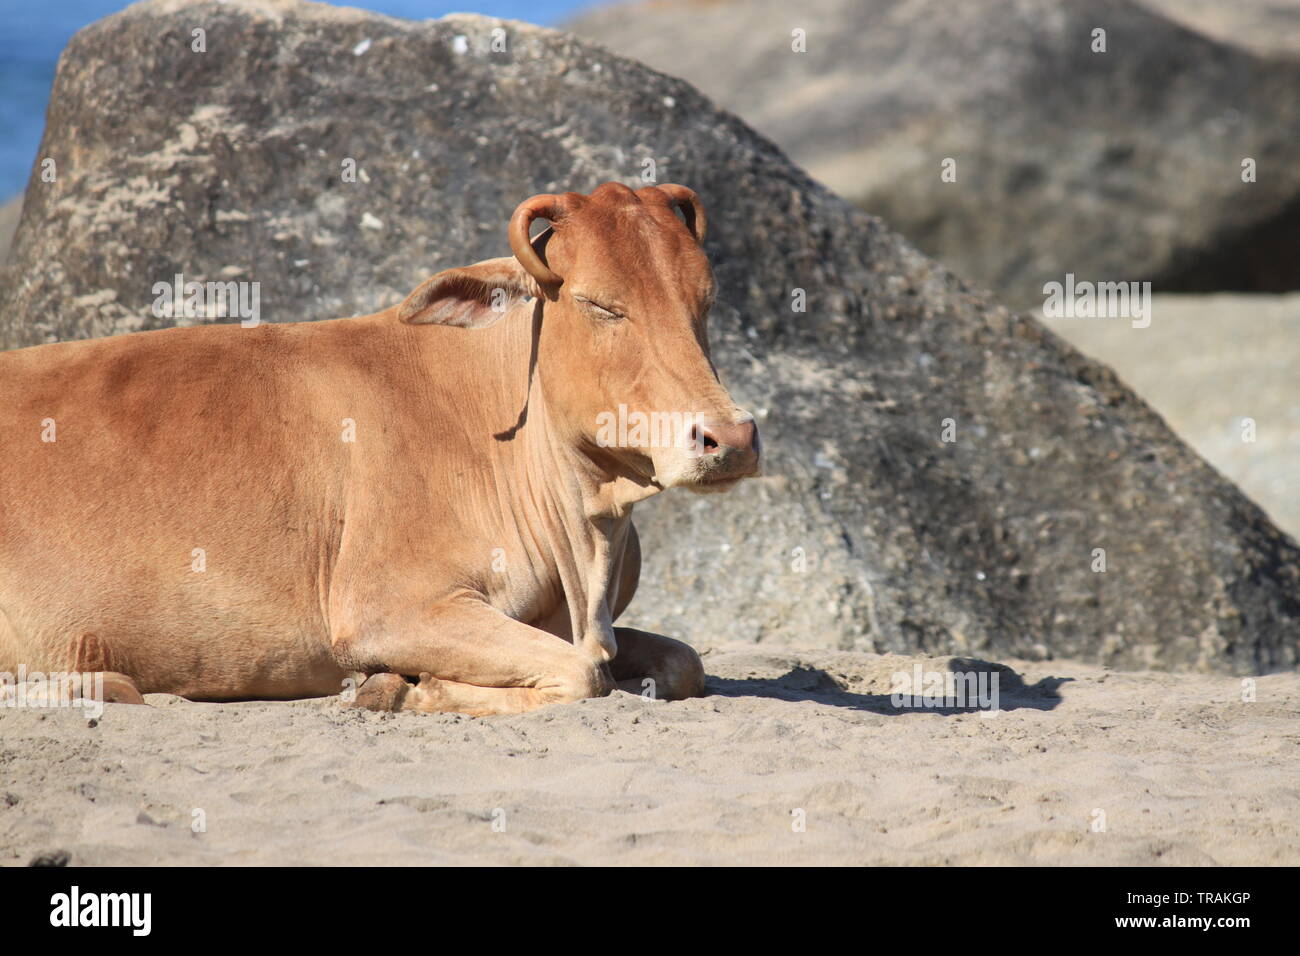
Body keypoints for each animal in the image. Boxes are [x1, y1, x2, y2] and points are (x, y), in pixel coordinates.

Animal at [0, 182, 760, 716]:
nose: (732, 437)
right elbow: (581, 671)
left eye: (705, 300)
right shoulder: (388, 606)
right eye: (602, 305)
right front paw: (398, 688)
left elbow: (680, 661)